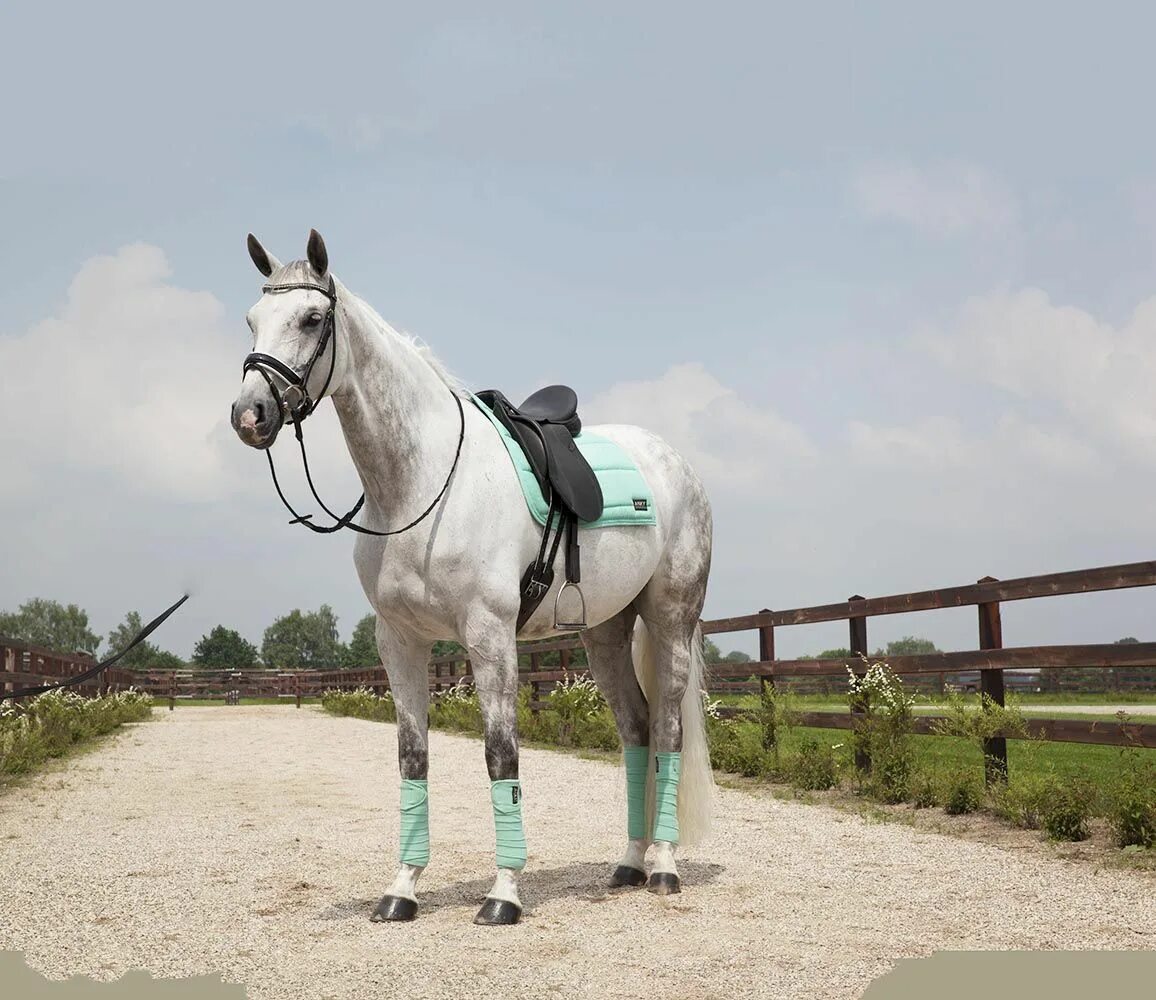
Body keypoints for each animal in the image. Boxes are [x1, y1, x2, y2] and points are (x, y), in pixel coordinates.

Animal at [227, 230, 712, 924]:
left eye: (313, 319)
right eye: (251, 320)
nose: (251, 414)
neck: (422, 483)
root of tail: (674, 463)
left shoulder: (489, 637)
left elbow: (499, 755)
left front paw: (503, 894)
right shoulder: (400, 643)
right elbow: (413, 758)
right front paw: (401, 890)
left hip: (671, 619)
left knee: (669, 730)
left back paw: (665, 868)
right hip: (605, 634)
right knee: (637, 730)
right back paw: (628, 864)